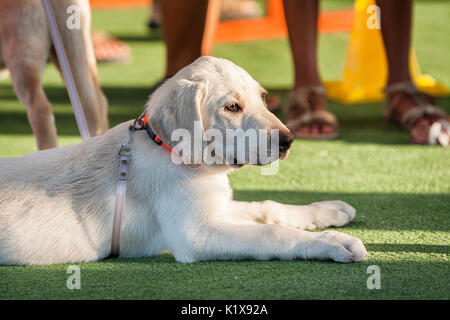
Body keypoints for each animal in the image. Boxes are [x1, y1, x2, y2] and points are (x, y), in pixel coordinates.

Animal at [0, 57, 368, 264]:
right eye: (231, 106)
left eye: (262, 98)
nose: (288, 140)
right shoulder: (196, 234)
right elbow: (272, 234)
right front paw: (332, 243)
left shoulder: (216, 206)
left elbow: (268, 208)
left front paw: (325, 211)